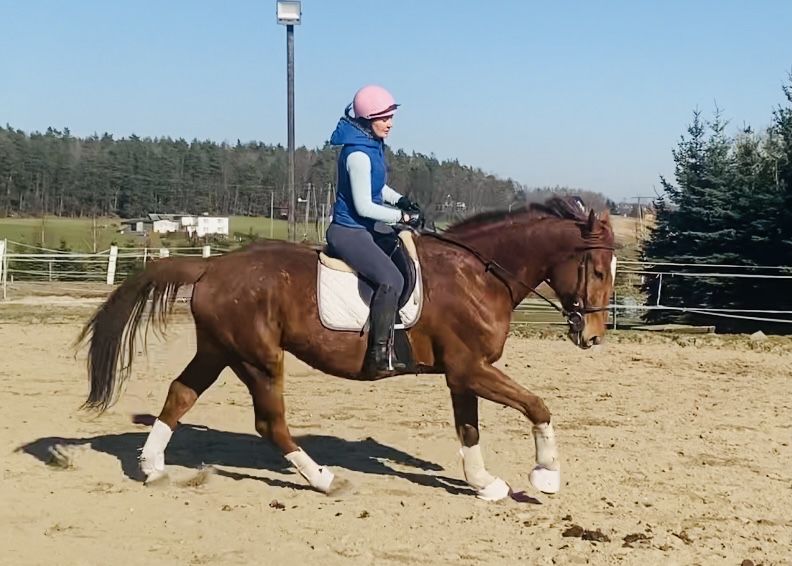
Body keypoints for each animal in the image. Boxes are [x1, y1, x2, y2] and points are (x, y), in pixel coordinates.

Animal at [77, 197, 616, 504]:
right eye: (598, 269)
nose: (592, 335)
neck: (479, 275)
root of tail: (211, 268)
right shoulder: (470, 368)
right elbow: (538, 406)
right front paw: (546, 477)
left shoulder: (463, 372)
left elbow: (469, 429)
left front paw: (485, 484)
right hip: (258, 358)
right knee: (269, 423)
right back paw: (324, 480)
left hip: (219, 350)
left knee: (180, 395)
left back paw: (152, 469)